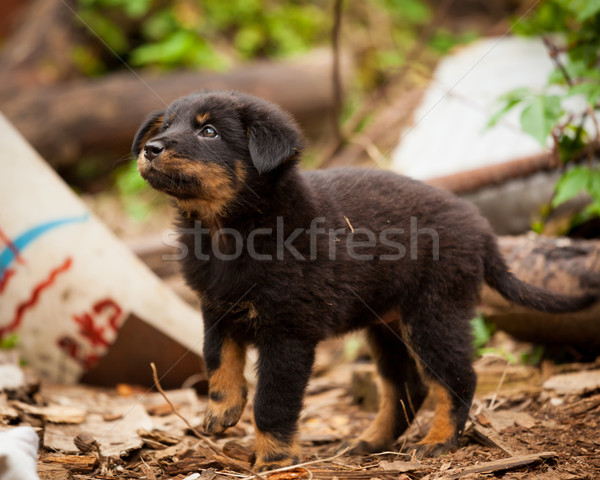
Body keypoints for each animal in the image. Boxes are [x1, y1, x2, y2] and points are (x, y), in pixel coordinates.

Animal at [132, 89, 596, 468]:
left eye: (209, 131)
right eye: (167, 125)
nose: (150, 148)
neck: (230, 231)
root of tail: (483, 230)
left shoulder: (288, 332)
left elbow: (273, 401)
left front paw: (275, 459)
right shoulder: (217, 307)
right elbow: (217, 358)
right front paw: (222, 410)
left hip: (433, 314)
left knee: (457, 378)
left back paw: (438, 441)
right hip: (387, 325)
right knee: (407, 387)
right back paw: (370, 442)